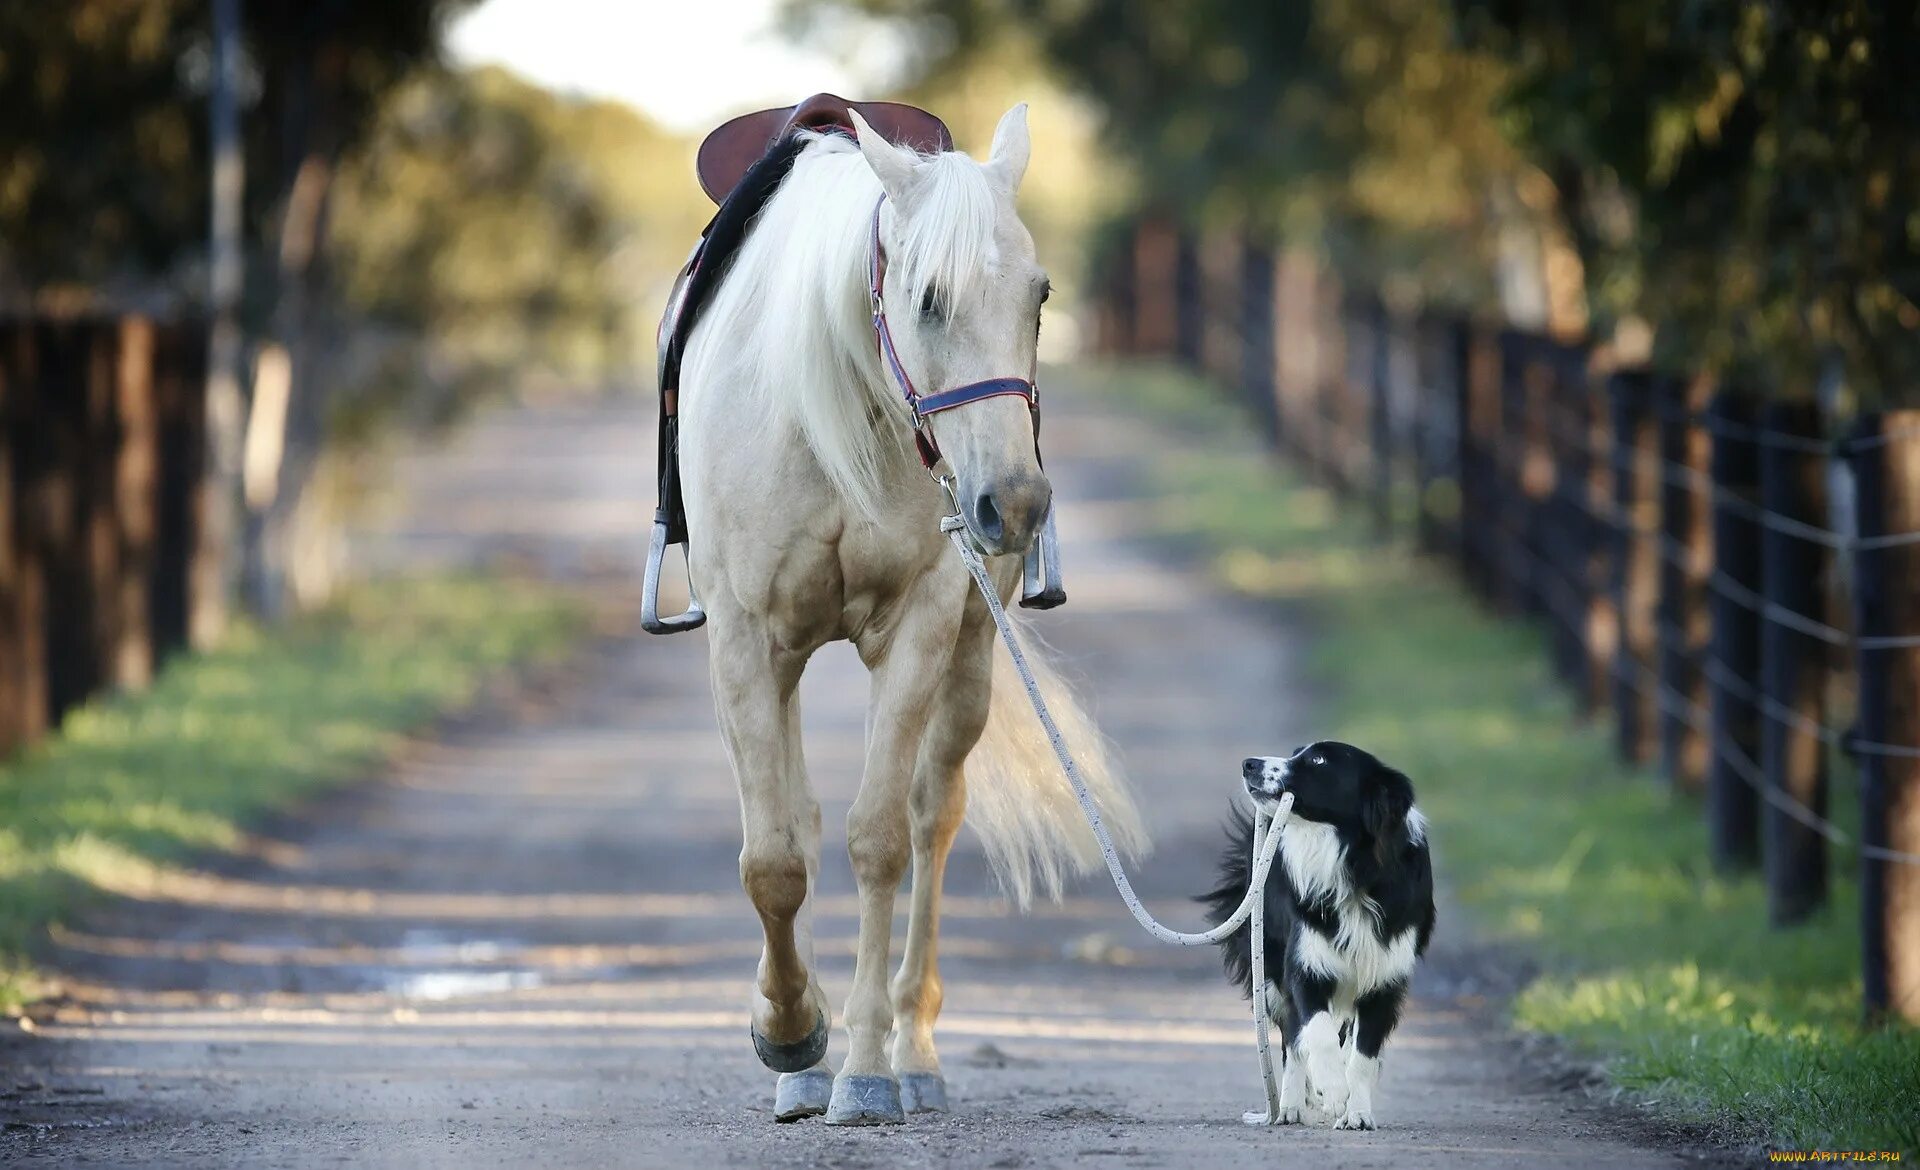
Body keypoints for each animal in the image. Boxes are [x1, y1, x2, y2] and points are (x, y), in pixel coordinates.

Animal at [683, 102, 1144, 1121]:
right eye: (927, 299)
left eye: (1041, 298)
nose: (1015, 504)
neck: (836, 416)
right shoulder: (744, 642)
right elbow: (774, 859)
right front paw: (791, 1033)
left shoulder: (922, 628)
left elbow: (882, 839)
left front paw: (863, 1065)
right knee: (798, 822)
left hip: (971, 653)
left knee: (935, 815)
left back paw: (915, 1053)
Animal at [1198, 737, 1428, 1129]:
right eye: (1296, 753)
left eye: (1318, 760)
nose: (1249, 764)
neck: (1353, 866)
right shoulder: (1306, 964)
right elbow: (1316, 1031)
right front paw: (1332, 1092)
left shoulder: (1385, 977)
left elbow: (1363, 1055)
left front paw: (1357, 1113)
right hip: (1273, 968)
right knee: (1294, 1038)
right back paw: (1289, 1107)